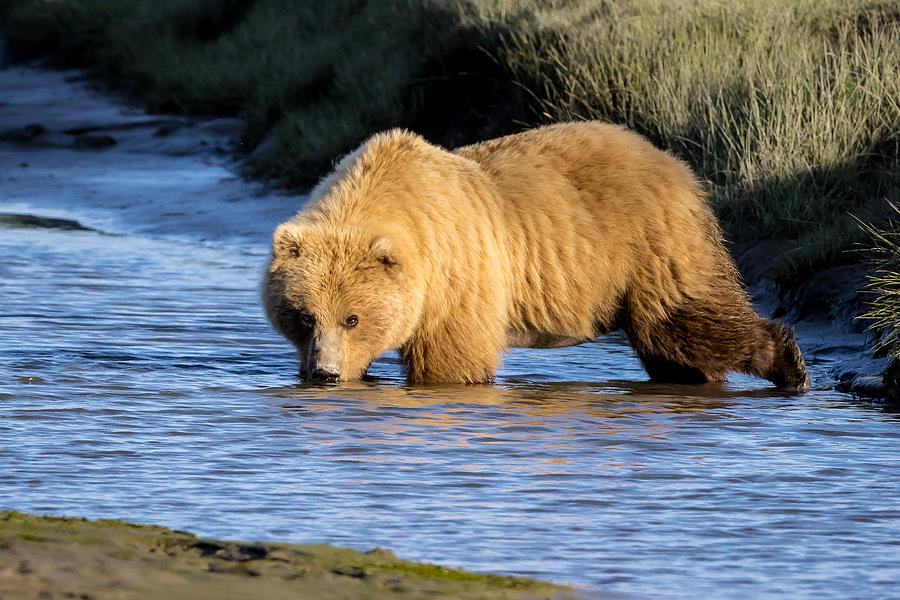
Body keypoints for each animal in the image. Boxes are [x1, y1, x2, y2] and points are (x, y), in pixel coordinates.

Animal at [262, 121, 810, 390]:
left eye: (352, 317)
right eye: (304, 315)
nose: (324, 374)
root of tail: (675, 163)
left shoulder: (457, 277)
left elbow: (452, 361)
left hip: (649, 247)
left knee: (686, 321)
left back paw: (790, 365)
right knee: (673, 347)